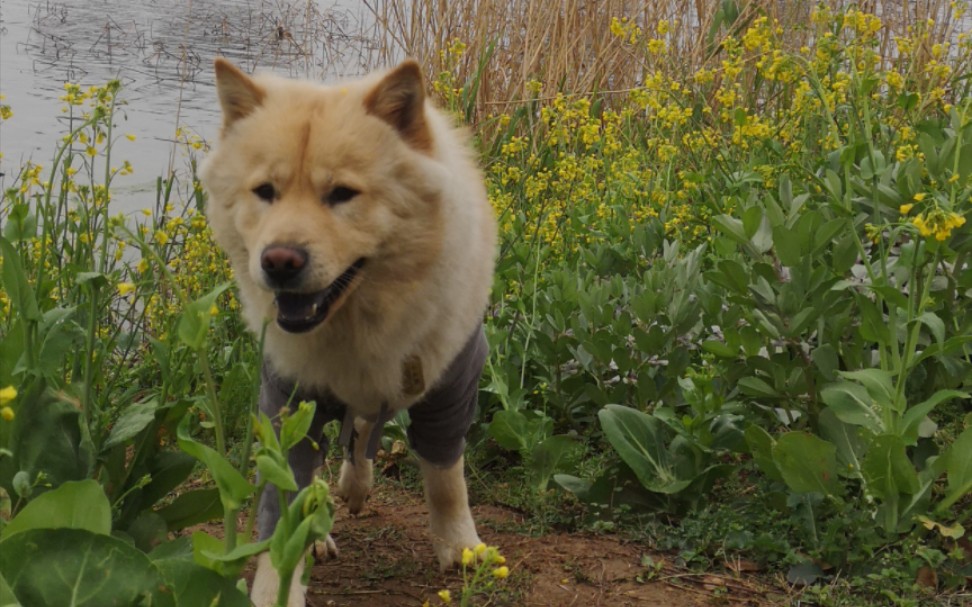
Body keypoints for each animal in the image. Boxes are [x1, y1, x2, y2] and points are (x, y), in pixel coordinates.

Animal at [200, 58, 498, 607]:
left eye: (341, 194)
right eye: (265, 192)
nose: (279, 261)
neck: (358, 324)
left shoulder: (450, 387)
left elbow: (446, 479)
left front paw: (461, 549)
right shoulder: (288, 401)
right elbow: (284, 505)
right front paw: (278, 586)